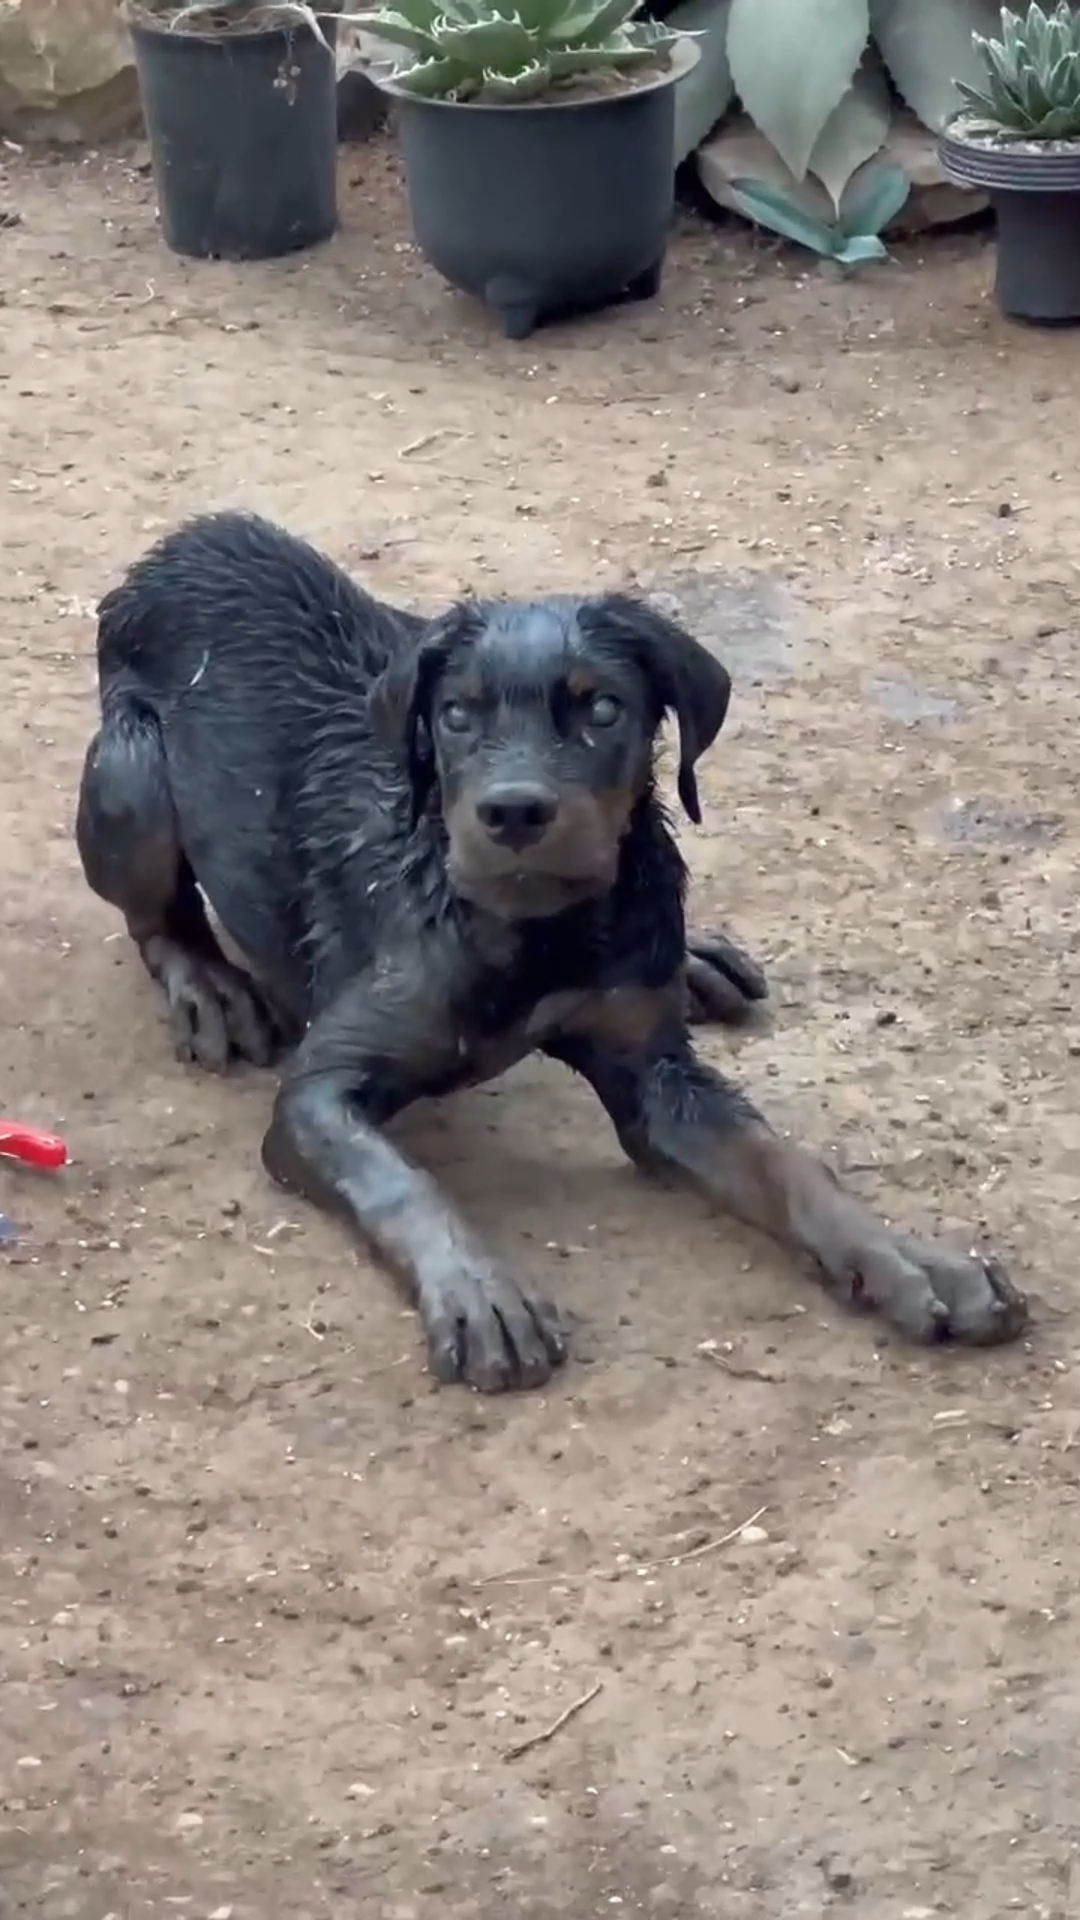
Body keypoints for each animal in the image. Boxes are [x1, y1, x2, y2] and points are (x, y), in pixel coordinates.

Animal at [77, 510, 1022, 1382]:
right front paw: (479, 1293)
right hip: (131, 774)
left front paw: (910, 1258)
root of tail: (176, 549)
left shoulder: (655, 1079)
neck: (538, 932)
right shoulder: (318, 1091)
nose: (515, 812)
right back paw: (210, 986)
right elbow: (399, 1181)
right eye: (455, 716)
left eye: (603, 708)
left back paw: (699, 961)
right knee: (154, 917)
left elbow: (785, 1162)